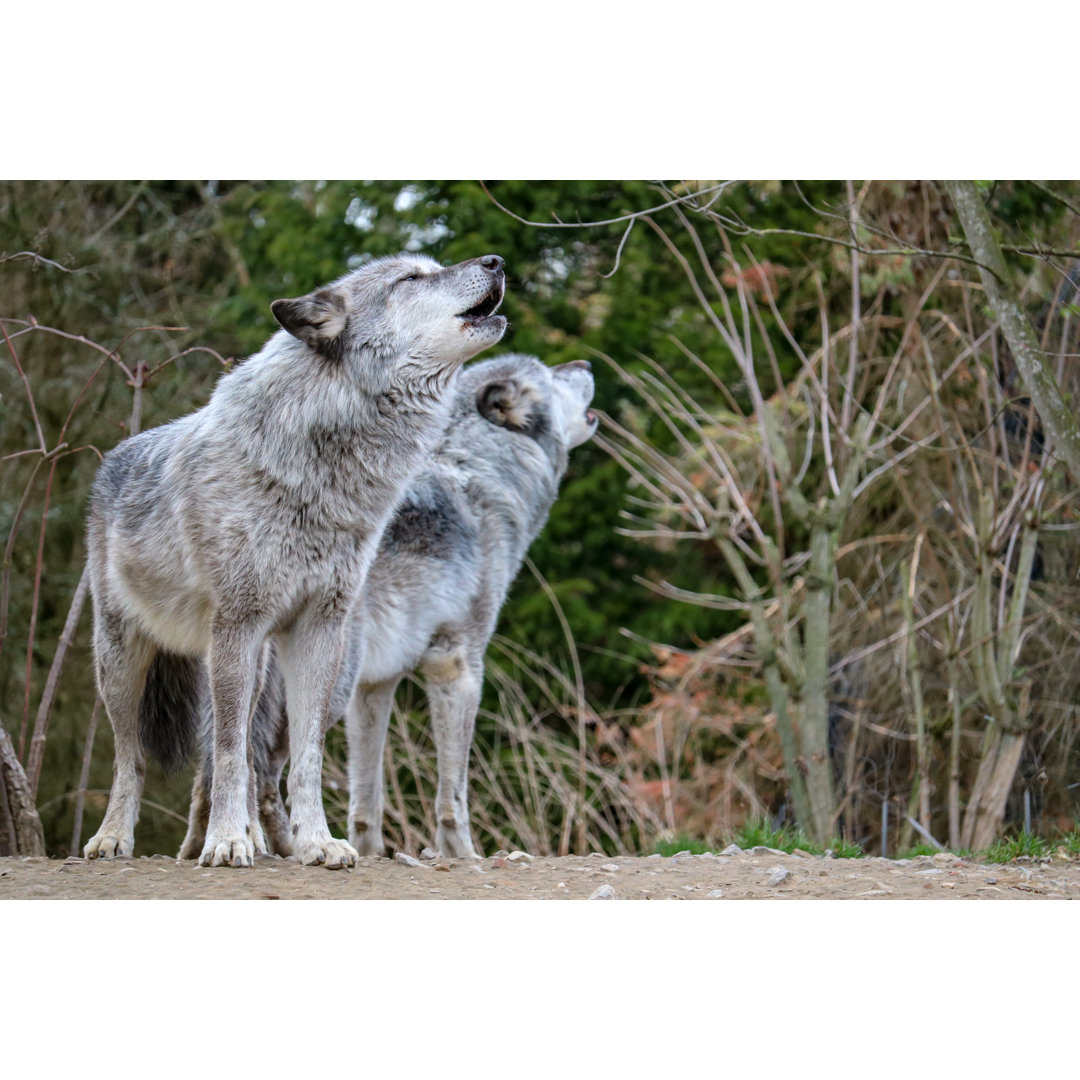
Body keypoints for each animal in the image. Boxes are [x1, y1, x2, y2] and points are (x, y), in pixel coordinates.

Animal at [82, 250, 507, 868]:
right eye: (410, 278)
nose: (496, 261)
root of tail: (113, 460)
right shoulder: (239, 622)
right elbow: (228, 750)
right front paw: (227, 842)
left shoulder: (319, 628)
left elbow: (305, 756)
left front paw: (316, 842)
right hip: (126, 660)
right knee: (132, 755)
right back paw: (118, 837)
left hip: (255, 665)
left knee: (245, 755)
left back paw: (250, 840)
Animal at [180, 354, 596, 859]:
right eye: (552, 374)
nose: (585, 361)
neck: (476, 474)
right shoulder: (457, 667)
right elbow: (453, 797)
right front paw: (464, 855)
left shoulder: (376, 687)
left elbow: (366, 799)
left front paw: (374, 850)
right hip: (321, 690)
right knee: (265, 775)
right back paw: (291, 848)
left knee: (214, 770)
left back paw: (208, 847)